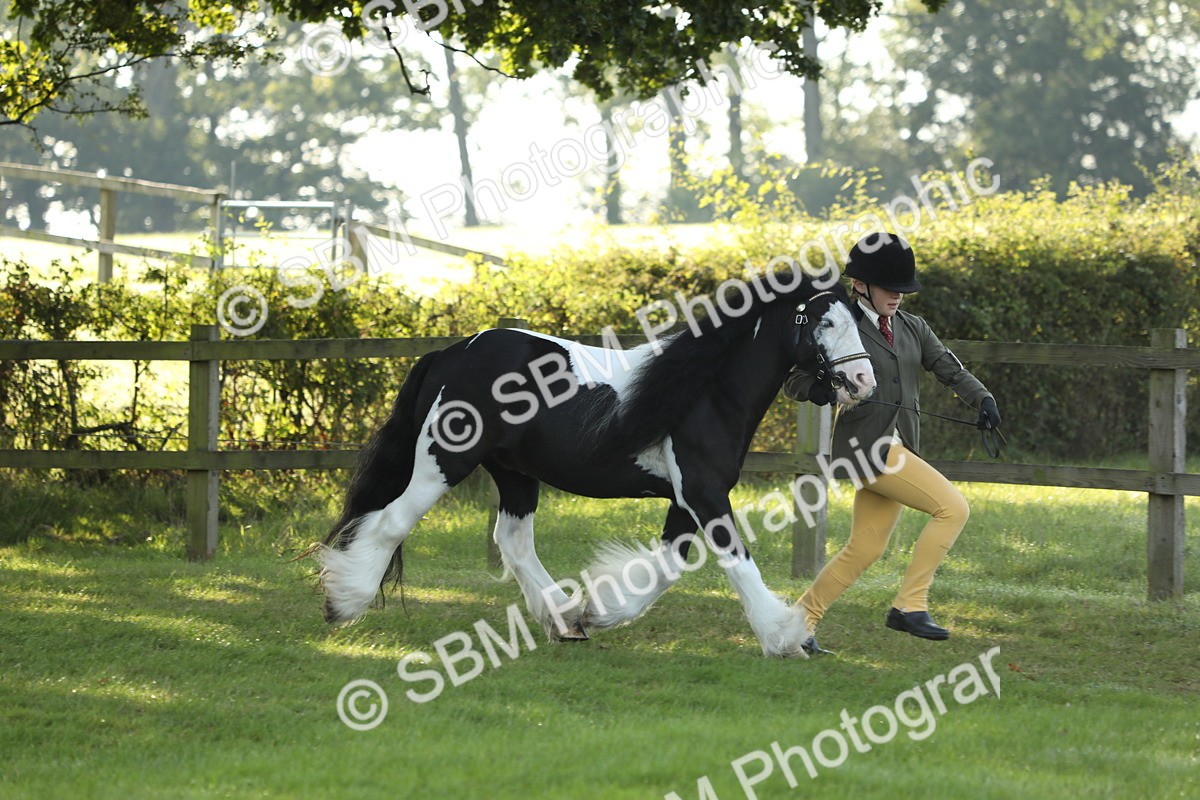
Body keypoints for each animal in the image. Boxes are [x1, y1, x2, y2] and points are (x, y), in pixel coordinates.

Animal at [318, 268, 876, 657]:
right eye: (825, 320)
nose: (863, 382)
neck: (706, 392)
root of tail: (450, 354)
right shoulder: (703, 492)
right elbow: (737, 561)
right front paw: (786, 638)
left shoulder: (687, 497)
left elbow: (668, 566)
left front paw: (602, 609)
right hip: (445, 461)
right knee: (391, 522)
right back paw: (343, 602)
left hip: (514, 474)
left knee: (512, 542)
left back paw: (566, 620)